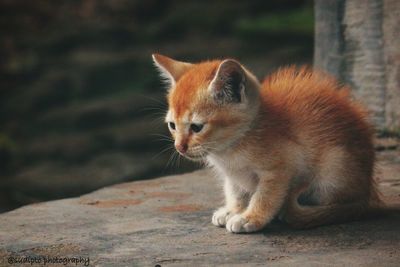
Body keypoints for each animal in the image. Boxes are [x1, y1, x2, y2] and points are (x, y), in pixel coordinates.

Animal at [152, 53, 382, 233]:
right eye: (172, 125)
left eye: (196, 127)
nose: (180, 147)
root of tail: (367, 192)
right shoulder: (233, 176)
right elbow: (235, 191)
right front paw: (233, 209)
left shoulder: (281, 168)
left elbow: (265, 196)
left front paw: (250, 218)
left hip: (334, 167)